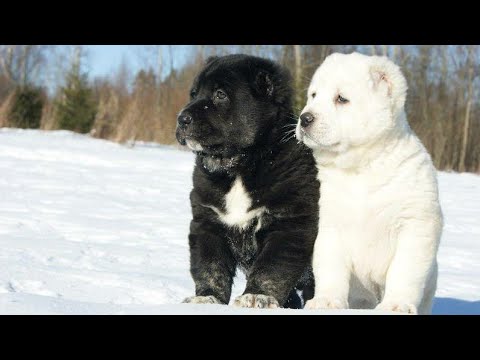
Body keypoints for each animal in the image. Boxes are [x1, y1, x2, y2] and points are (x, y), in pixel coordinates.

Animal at [176, 54, 318, 310]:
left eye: (220, 94)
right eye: (194, 93)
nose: (181, 119)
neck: (240, 167)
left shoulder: (289, 224)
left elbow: (271, 268)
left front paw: (256, 297)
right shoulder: (207, 223)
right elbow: (210, 267)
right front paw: (206, 298)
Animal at [296, 52, 442, 314]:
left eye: (341, 98)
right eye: (313, 95)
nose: (305, 118)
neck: (362, 168)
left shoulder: (415, 224)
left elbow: (404, 270)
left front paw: (395, 305)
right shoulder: (332, 224)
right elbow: (330, 267)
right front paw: (326, 302)